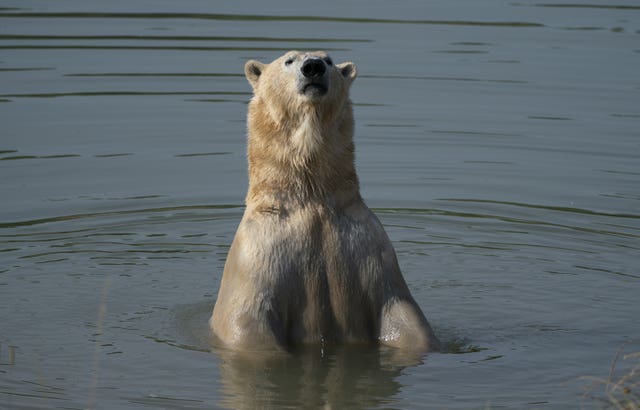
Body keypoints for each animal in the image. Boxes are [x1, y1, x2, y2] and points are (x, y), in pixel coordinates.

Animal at [210, 50, 440, 352]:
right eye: (289, 60)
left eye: (329, 60)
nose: (313, 67)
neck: (310, 197)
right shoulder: (258, 256)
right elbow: (249, 327)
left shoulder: (369, 251)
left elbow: (404, 317)